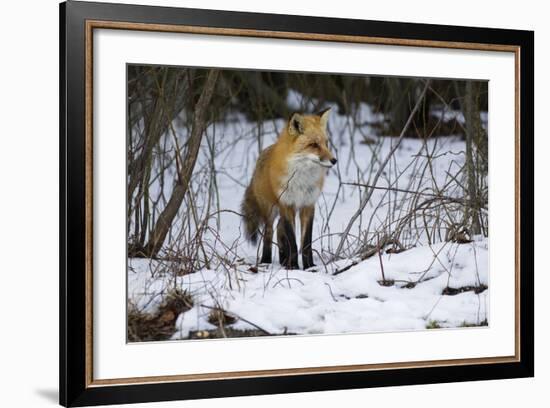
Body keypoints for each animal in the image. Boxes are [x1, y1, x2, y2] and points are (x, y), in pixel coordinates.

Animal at [242, 108, 336, 270]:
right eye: (314, 145)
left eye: (326, 143)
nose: (334, 160)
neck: (302, 180)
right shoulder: (287, 204)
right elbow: (293, 241)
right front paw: (295, 267)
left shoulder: (308, 205)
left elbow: (306, 243)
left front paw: (309, 267)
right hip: (271, 210)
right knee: (269, 233)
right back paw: (266, 261)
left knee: (280, 231)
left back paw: (283, 260)